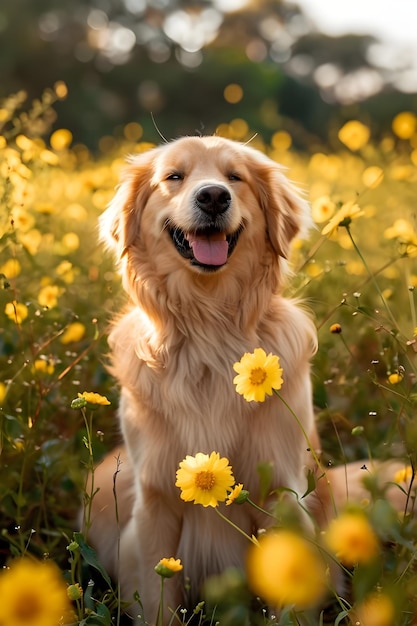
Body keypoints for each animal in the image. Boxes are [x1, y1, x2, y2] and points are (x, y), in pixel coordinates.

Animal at [84, 135, 406, 620]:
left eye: (235, 177)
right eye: (173, 176)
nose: (214, 196)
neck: (210, 331)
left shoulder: (280, 494)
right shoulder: (155, 499)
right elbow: (159, 599)